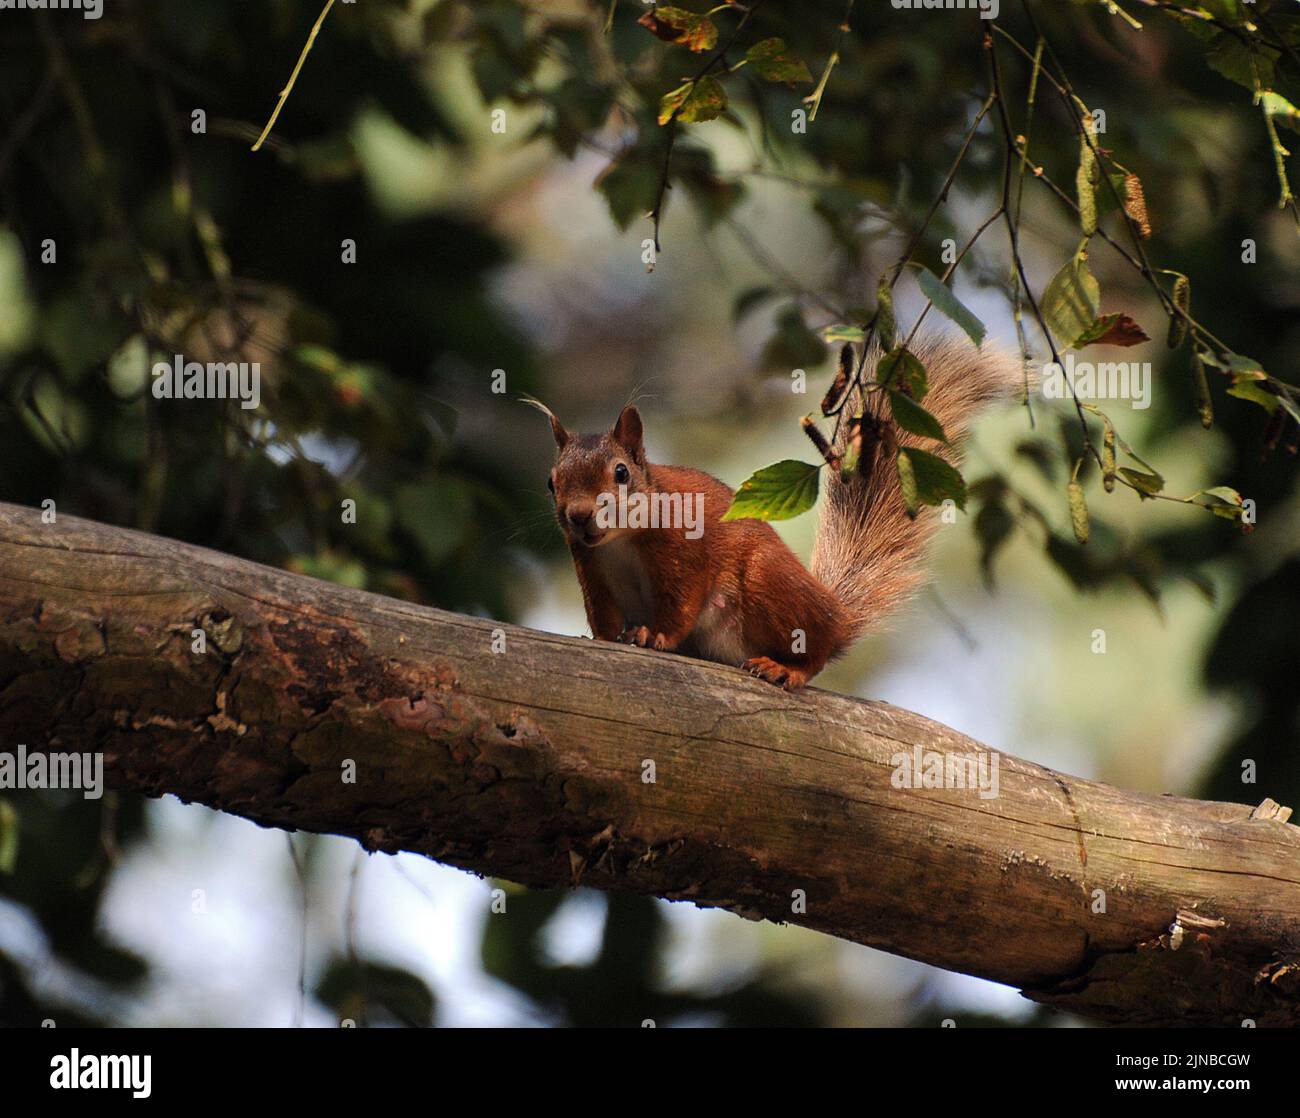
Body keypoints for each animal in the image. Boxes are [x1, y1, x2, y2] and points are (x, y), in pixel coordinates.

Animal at [533, 335, 1019, 686]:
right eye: (551, 482)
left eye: (621, 473)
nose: (578, 516)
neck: (620, 541)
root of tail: (837, 615)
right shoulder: (591, 568)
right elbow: (602, 615)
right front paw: (598, 639)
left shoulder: (684, 551)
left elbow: (681, 602)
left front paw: (655, 635)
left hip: (768, 582)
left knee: (816, 651)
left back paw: (787, 668)